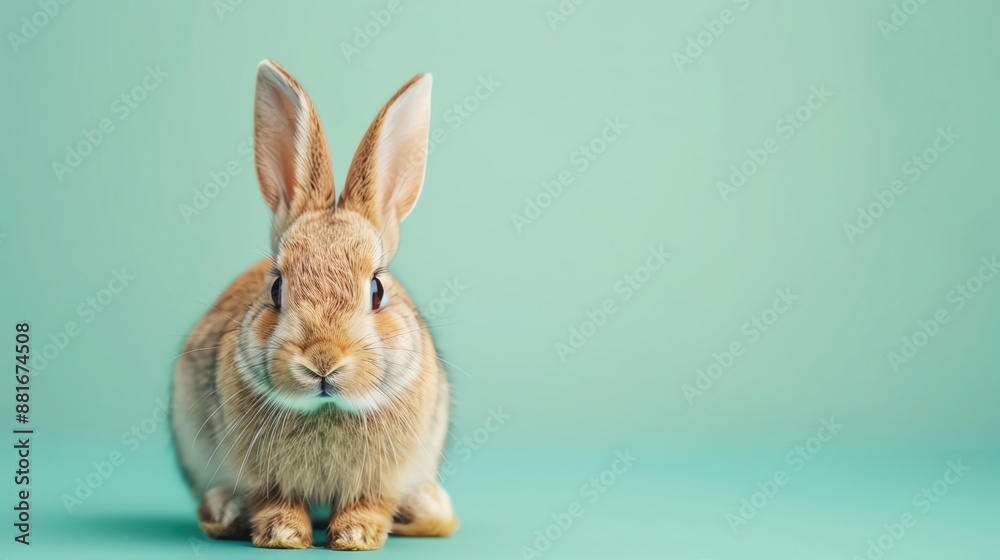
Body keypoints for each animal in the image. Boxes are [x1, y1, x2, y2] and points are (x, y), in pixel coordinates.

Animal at [170, 60, 457, 551]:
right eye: (276, 289)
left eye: (377, 290)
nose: (323, 360)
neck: (327, 409)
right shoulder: (261, 476)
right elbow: (274, 500)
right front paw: (282, 534)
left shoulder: (381, 478)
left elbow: (369, 504)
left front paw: (354, 537)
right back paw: (223, 512)